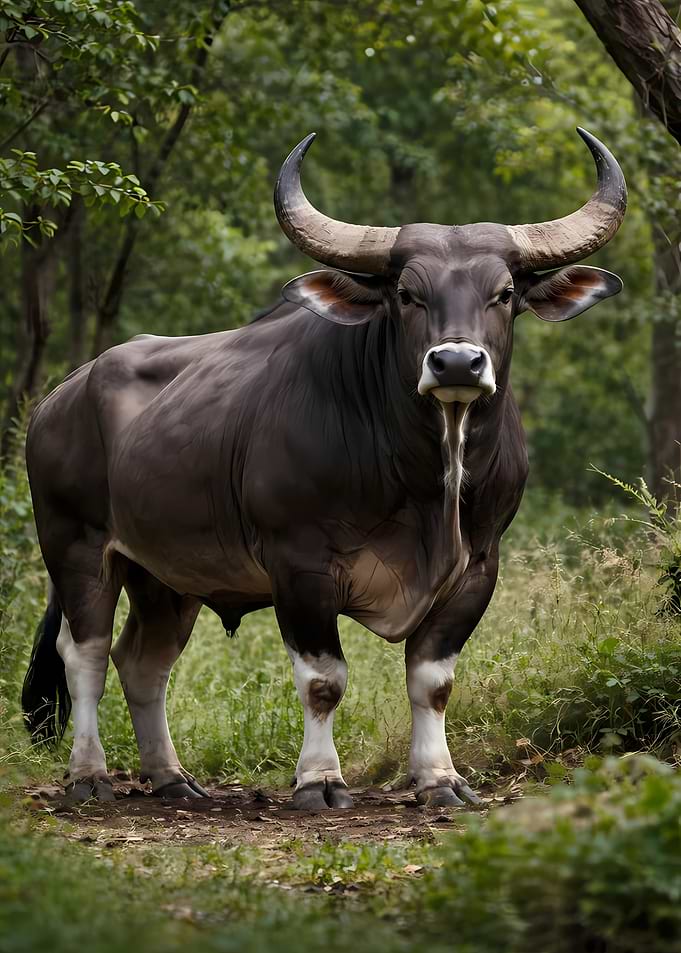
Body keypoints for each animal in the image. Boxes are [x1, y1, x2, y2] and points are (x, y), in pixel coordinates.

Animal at [22, 128, 626, 809]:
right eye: (407, 293)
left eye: (503, 294)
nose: (456, 363)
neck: (425, 481)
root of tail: (61, 395)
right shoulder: (299, 566)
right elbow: (323, 680)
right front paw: (320, 780)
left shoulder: (478, 567)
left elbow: (433, 680)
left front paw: (440, 779)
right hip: (76, 546)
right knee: (86, 654)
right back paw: (89, 774)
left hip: (165, 573)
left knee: (143, 661)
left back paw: (172, 777)